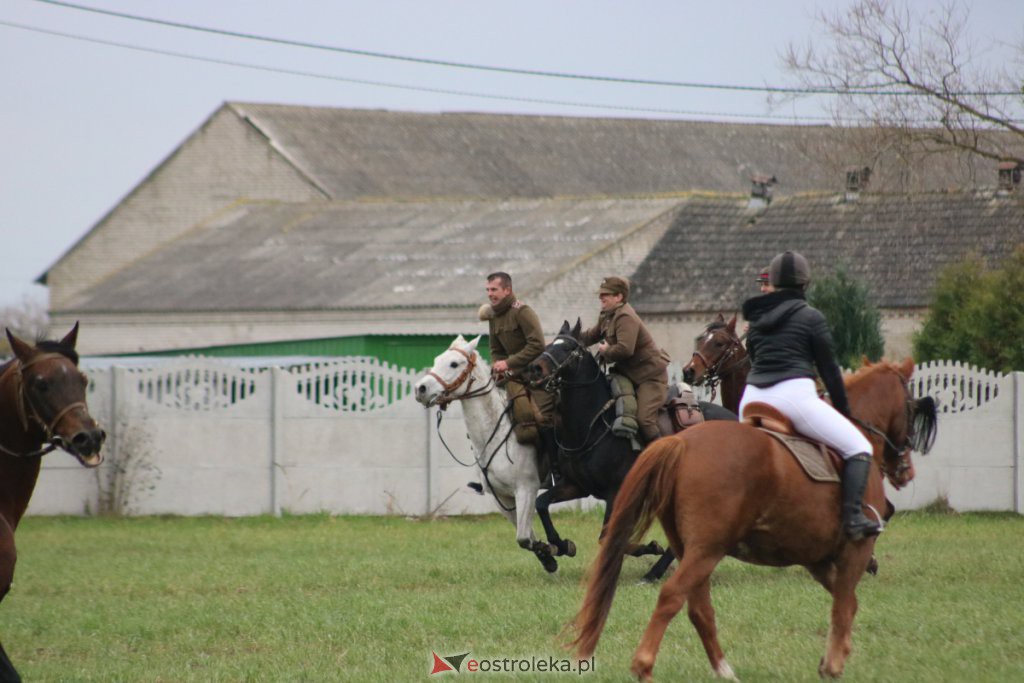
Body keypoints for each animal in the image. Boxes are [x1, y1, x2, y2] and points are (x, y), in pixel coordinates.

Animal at [413, 335, 561, 573]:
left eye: (454, 363)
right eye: (437, 359)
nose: (421, 388)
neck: (497, 434)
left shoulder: (527, 489)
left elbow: (523, 536)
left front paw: (556, 549)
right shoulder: (502, 497)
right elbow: (525, 536)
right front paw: (547, 556)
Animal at [528, 321, 737, 581]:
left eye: (567, 348)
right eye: (549, 344)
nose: (535, 368)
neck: (595, 424)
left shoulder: (615, 492)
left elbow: (606, 537)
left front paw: (649, 547)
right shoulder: (577, 486)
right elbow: (541, 503)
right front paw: (560, 545)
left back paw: (655, 572)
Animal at [569, 360, 937, 679]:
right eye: (910, 408)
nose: (906, 470)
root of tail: (680, 442)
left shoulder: (817, 559)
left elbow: (848, 602)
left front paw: (835, 656)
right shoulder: (854, 551)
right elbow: (845, 605)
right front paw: (833, 664)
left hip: (695, 550)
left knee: (698, 607)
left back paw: (724, 670)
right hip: (707, 550)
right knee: (673, 596)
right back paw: (644, 666)